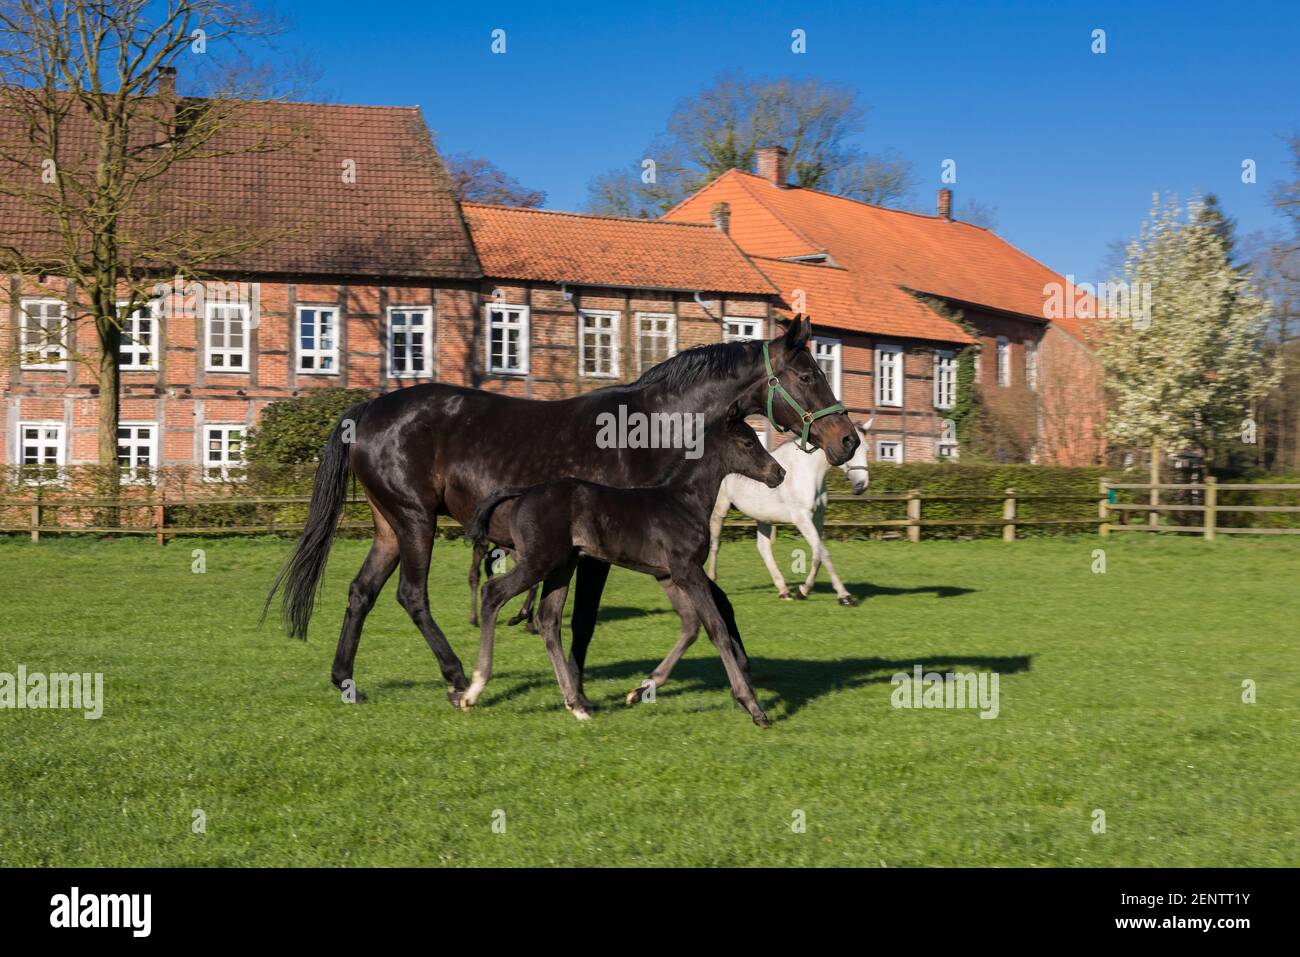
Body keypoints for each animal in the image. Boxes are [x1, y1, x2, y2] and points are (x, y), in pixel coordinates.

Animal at [473, 408, 785, 728]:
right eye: (748, 443)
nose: (779, 473)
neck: (683, 502)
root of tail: (524, 492)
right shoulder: (688, 571)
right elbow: (716, 629)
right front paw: (753, 707)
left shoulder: (667, 575)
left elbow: (690, 626)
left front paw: (640, 690)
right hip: (539, 561)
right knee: (493, 592)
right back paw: (475, 687)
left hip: (562, 566)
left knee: (549, 621)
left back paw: (576, 705)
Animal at [702, 416, 873, 605]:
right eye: (851, 449)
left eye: (866, 449)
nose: (861, 486)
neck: (807, 471)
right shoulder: (802, 518)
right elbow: (824, 554)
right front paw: (844, 596)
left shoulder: (818, 517)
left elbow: (817, 554)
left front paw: (803, 591)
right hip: (719, 511)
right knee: (715, 544)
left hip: (763, 517)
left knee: (763, 548)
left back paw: (783, 591)